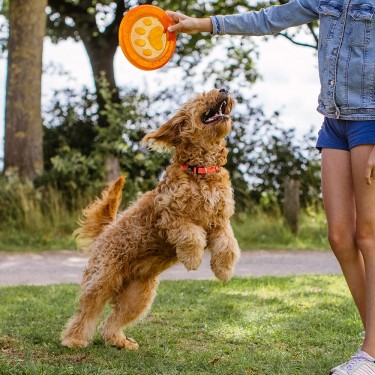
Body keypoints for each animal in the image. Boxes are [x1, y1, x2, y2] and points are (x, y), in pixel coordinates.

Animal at [60, 87, 239, 350]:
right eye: (200, 97)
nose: (224, 89)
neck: (200, 171)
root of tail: (107, 229)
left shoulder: (220, 223)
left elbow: (228, 245)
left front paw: (224, 270)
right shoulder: (170, 217)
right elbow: (192, 235)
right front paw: (192, 259)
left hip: (139, 295)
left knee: (111, 322)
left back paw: (119, 341)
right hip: (101, 279)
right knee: (86, 314)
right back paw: (74, 339)